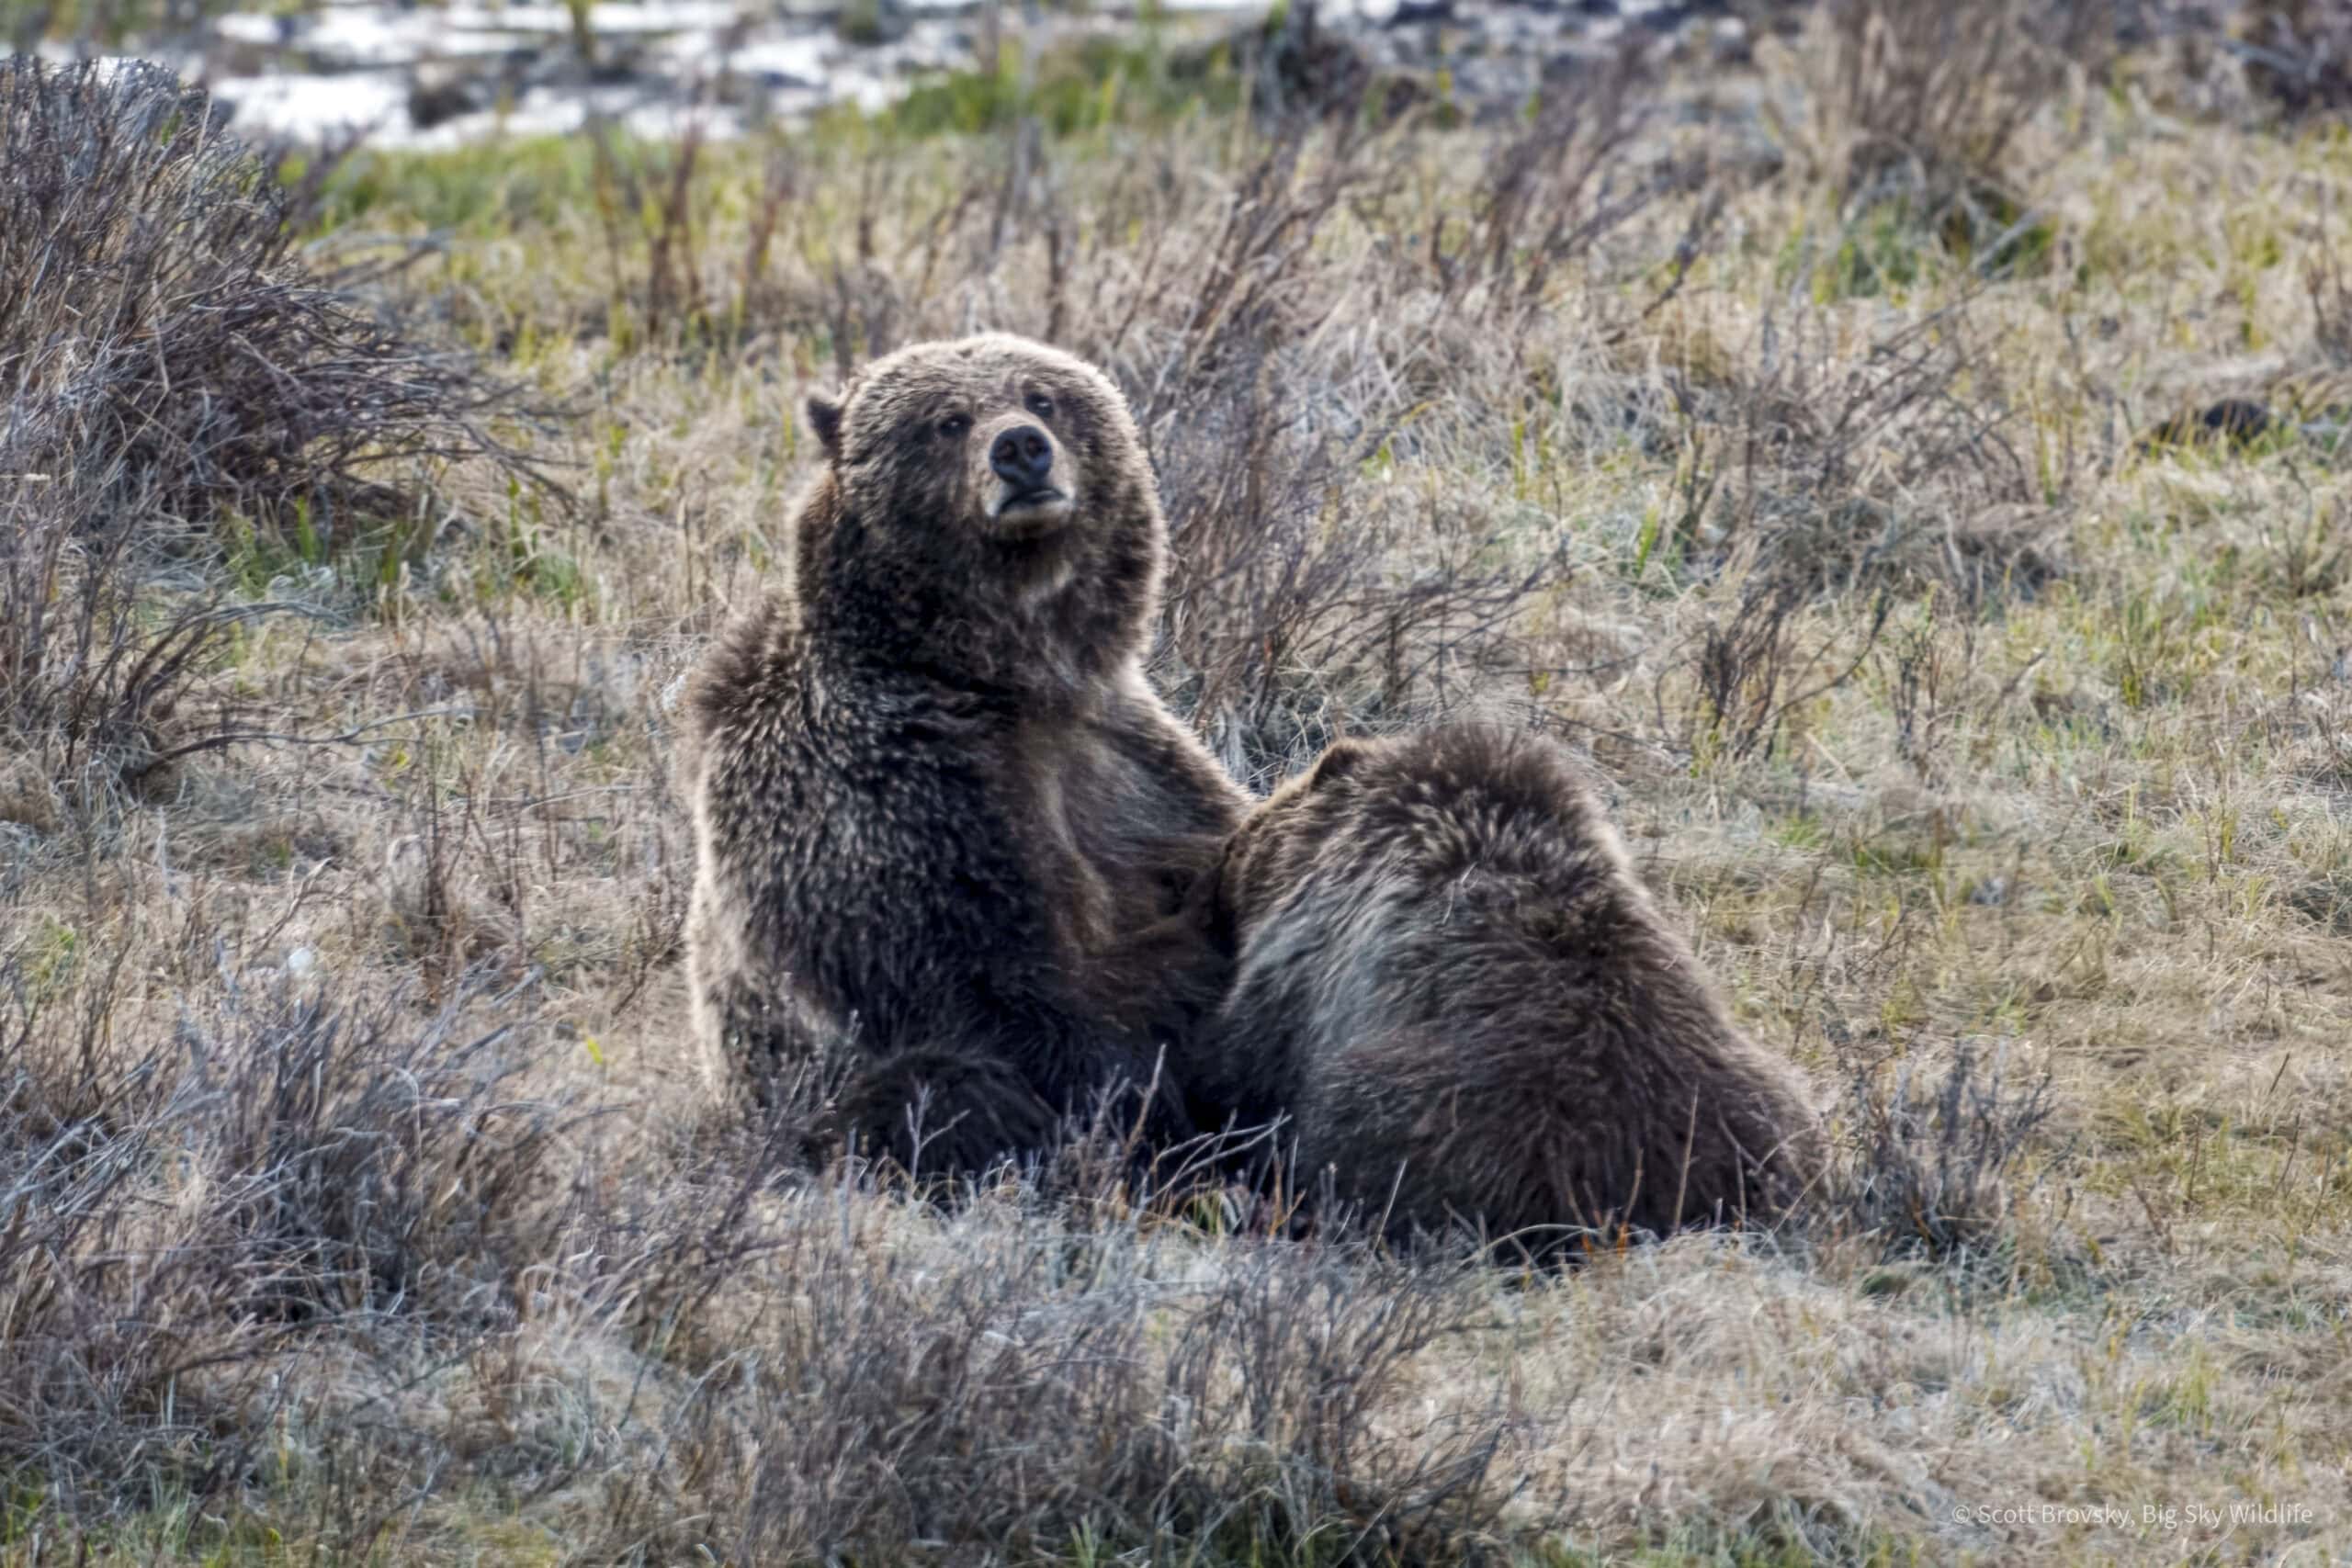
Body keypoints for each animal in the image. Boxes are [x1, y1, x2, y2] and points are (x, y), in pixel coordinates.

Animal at [681, 332, 1252, 1177]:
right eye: (947, 420)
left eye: (1043, 395)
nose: (1020, 448)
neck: (1004, 680)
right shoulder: (901, 801)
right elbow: (1012, 996)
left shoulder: (1127, 757)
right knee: (942, 1091)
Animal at [1186, 723, 1824, 1251]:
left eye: (1254, 825)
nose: (1222, 858)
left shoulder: (1303, 960)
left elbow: (1249, 1063)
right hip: (1773, 1107)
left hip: (1420, 1114)